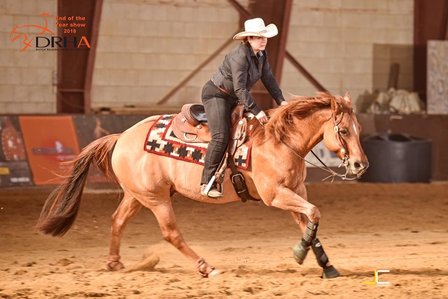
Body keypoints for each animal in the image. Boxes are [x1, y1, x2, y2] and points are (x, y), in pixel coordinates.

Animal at [36, 93, 368, 278]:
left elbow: (309, 222)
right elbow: (314, 214)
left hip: (137, 195)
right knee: (171, 234)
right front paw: (302, 254)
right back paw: (206, 267)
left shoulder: (295, 193)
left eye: (359, 129)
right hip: (157, 199)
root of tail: (121, 136)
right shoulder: (276, 195)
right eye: (343, 130)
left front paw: (324, 264)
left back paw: (115, 263)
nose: (360, 165)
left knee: (117, 220)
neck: (278, 140)